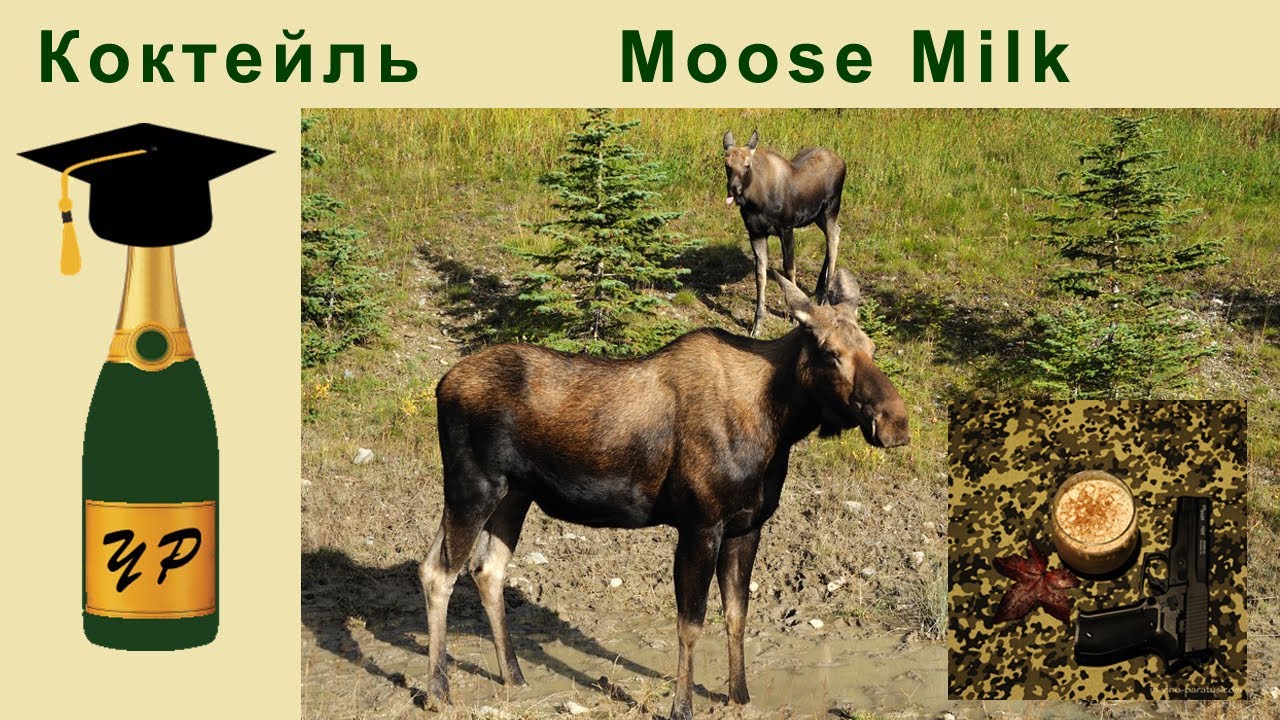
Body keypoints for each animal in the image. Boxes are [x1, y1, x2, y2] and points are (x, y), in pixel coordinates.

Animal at [419, 269, 909, 720]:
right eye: (829, 352)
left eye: (871, 347)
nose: (895, 423)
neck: (779, 424)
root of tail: (440, 384)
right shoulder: (699, 524)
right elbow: (690, 623)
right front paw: (682, 706)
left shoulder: (746, 525)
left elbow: (737, 613)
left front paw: (739, 695)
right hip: (472, 485)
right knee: (438, 571)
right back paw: (438, 690)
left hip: (514, 494)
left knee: (487, 570)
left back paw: (514, 676)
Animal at [722, 130, 847, 337]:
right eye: (727, 165)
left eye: (747, 165)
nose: (734, 190)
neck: (756, 201)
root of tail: (842, 160)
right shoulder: (755, 232)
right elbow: (760, 274)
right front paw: (757, 324)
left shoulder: (786, 227)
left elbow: (789, 268)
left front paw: (792, 315)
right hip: (817, 216)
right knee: (836, 233)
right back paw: (819, 287)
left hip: (832, 208)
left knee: (833, 240)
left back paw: (825, 297)